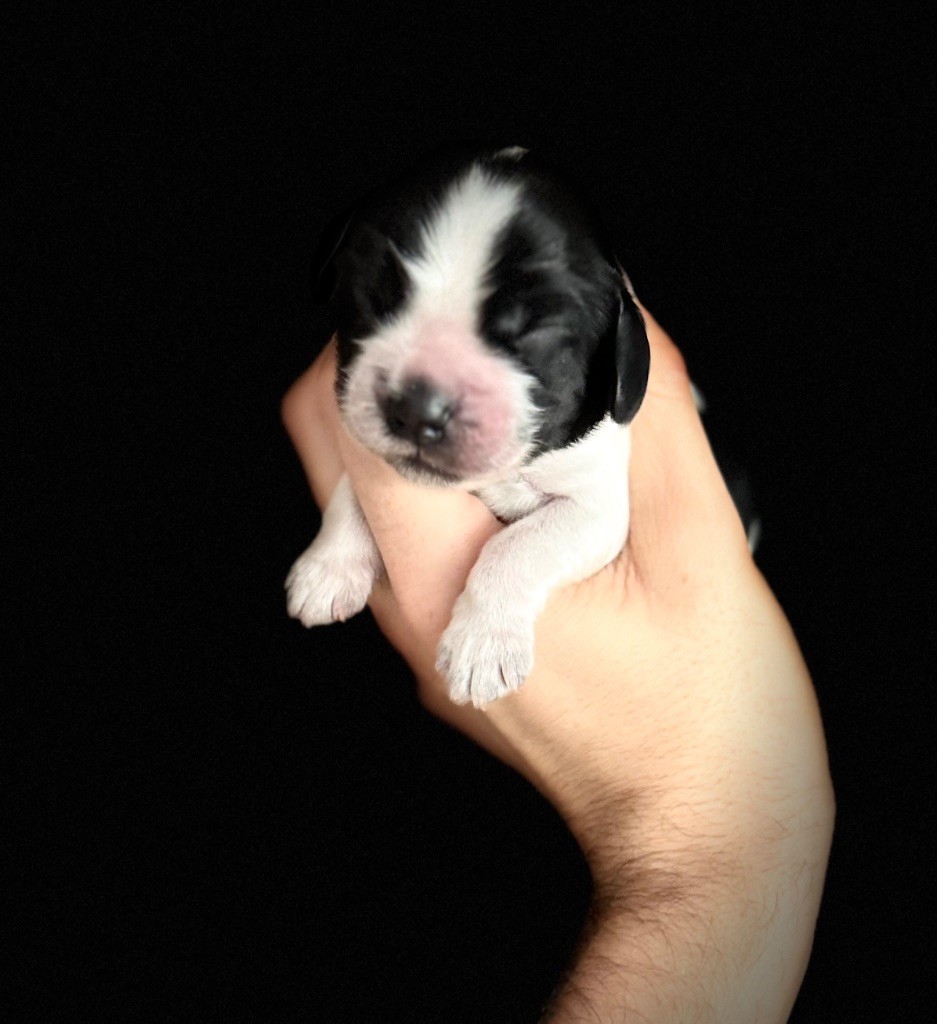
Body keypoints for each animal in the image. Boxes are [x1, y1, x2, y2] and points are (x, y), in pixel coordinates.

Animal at [286, 145, 754, 707]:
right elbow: (353, 484)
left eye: (531, 334)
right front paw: (329, 564)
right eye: (377, 297)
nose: (418, 409)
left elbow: (519, 546)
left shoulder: (597, 507)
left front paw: (482, 644)